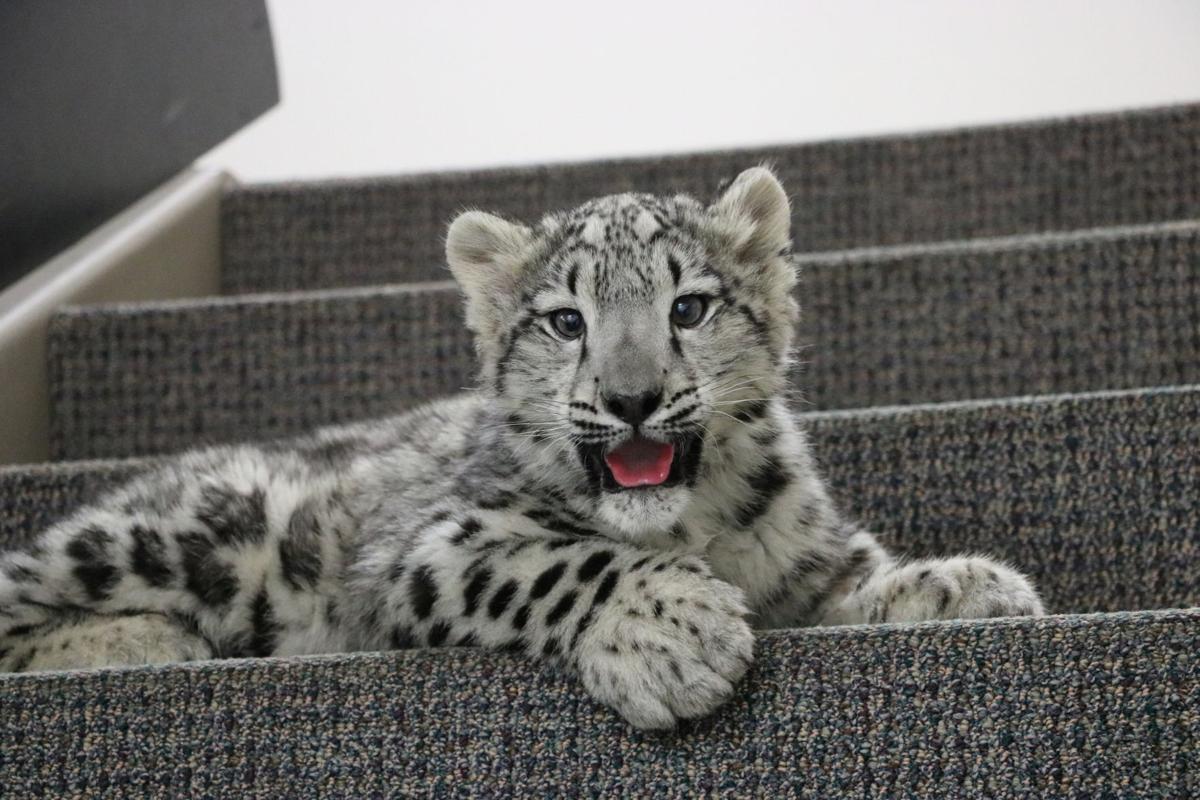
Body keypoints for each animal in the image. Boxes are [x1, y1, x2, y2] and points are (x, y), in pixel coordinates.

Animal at [0, 167, 1043, 729]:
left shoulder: (804, 560)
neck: (698, 526)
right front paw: (673, 633)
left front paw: (967, 588)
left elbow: (854, 583)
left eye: (689, 307)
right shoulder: (432, 546)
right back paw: (147, 639)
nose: (631, 398)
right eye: (566, 321)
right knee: (20, 588)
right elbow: (560, 562)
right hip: (196, 530)